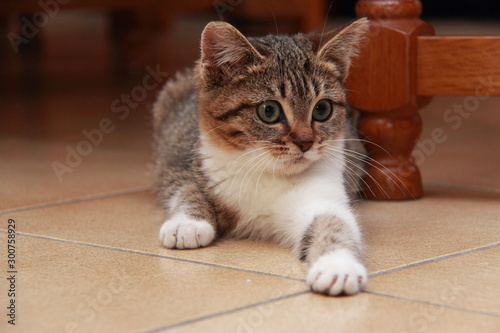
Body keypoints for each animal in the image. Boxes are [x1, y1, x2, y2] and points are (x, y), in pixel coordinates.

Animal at [150, 18, 370, 294]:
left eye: (322, 109)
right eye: (269, 111)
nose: (305, 142)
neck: (264, 170)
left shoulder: (323, 189)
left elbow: (333, 222)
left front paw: (338, 265)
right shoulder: (179, 161)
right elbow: (185, 188)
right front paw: (188, 223)